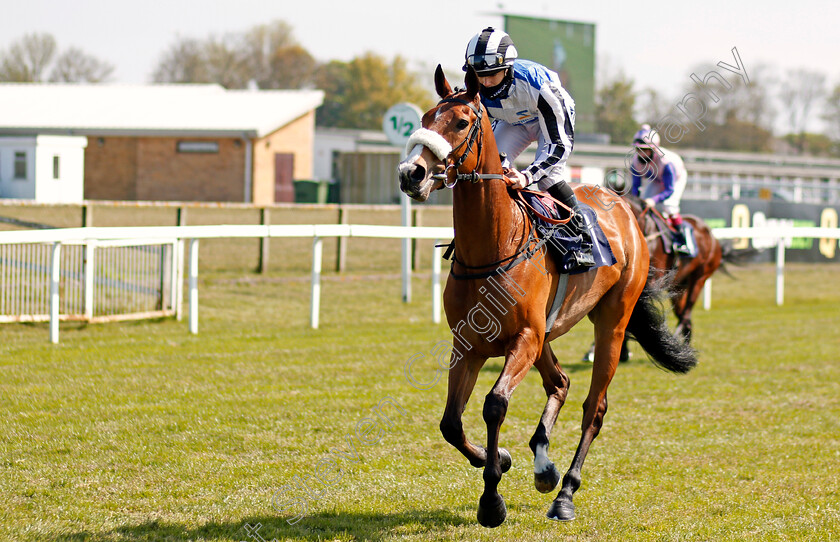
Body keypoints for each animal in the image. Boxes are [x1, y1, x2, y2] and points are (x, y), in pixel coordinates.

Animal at [398, 66, 696, 528]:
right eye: (426, 117)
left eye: (461, 122)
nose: (411, 173)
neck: (494, 245)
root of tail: (625, 208)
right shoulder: (468, 344)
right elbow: (450, 423)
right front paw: (498, 458)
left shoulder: (524, 337)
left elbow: (495, 404)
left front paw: (492, 500)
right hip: (547, 338)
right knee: (560, 382)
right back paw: (544, 466)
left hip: (611, 323)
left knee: (594, 407)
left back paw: (565, 493)